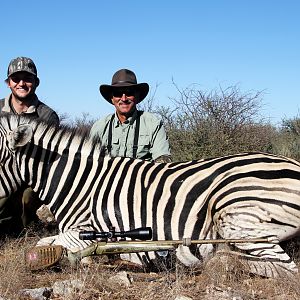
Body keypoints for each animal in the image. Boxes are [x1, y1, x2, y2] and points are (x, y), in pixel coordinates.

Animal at [0, 113, 298, 278]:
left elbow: (42, 245)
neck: (79, 182)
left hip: (233, 215)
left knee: (286, 269)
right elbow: (48, 242)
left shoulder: (85, 230)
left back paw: (218, 263)